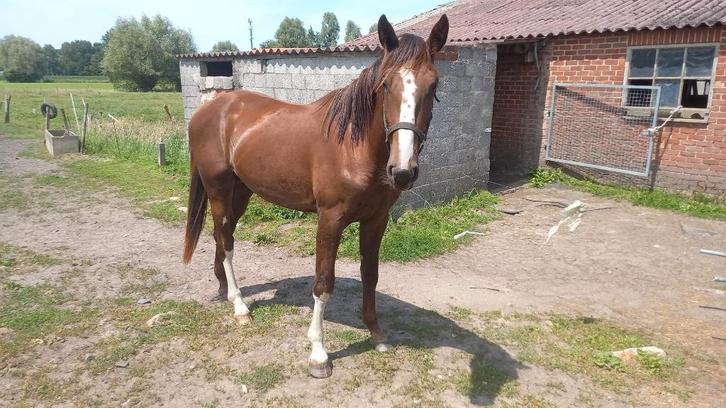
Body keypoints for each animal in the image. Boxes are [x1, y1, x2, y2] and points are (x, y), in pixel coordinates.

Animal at [182, 14, 449, 378]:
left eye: (433, 85)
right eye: (386, 85)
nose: (403, 171)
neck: (353, 146)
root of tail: (209, 109)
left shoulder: (376, 220)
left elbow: (371, 274)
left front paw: (376, 333)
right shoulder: (330, 220)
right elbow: (323, 283)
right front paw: (319, 354)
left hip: (241, 193)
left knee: (221, 238)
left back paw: (224, 289)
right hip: (219, 191)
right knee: (226, 242)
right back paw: (239, 306)